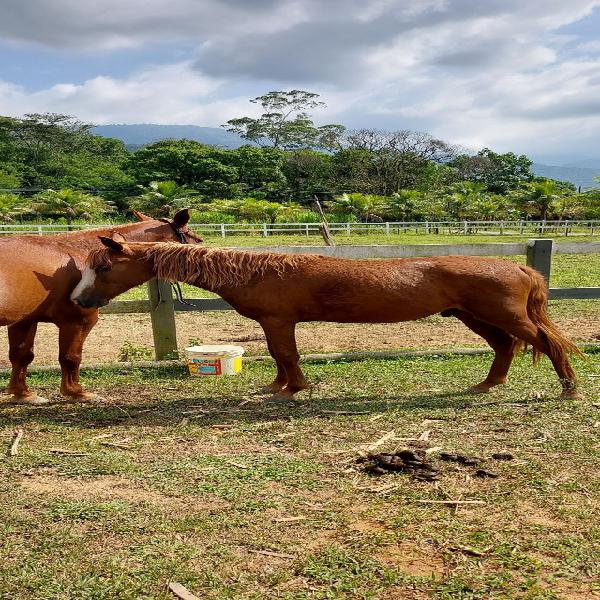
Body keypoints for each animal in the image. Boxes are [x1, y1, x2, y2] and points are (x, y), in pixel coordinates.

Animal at [0, 209, 203, 406]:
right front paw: (76, 392)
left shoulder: (25, 320)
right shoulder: (77, 321)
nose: (203, 250)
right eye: (195, 238)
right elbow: (70, 357)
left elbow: (21, 355)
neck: (77, 254)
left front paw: (23, 394)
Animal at [74, 239, 580, 398]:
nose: (81, 302)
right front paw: (278, 387)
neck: (254, 270)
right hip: (474, 317)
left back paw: (568, 389)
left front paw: (293, 390)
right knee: (505, 347)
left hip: (503, 316)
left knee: (547, 343)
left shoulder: (279, 321)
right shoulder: (274, 322)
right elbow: (278, 357)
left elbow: (286, 355)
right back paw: (487, 384)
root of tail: (520, 267)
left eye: (105, 267)